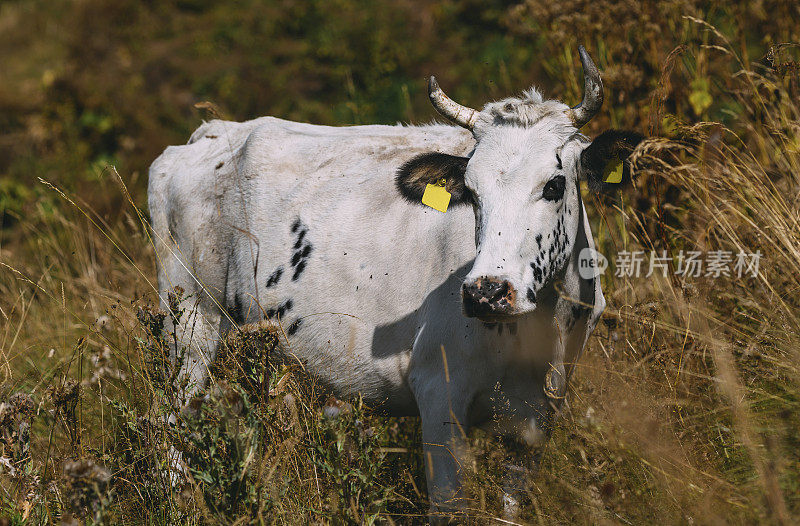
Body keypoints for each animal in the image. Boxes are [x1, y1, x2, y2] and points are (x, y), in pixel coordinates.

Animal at [150, 46, 644, 520]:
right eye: (471, 191)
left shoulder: (539, 416)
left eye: (555, 185)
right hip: (190, 321)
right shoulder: (439, 395)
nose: (486, 292)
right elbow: (450, 507)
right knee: (171, 418)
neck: (538, 331)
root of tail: (213, 132)